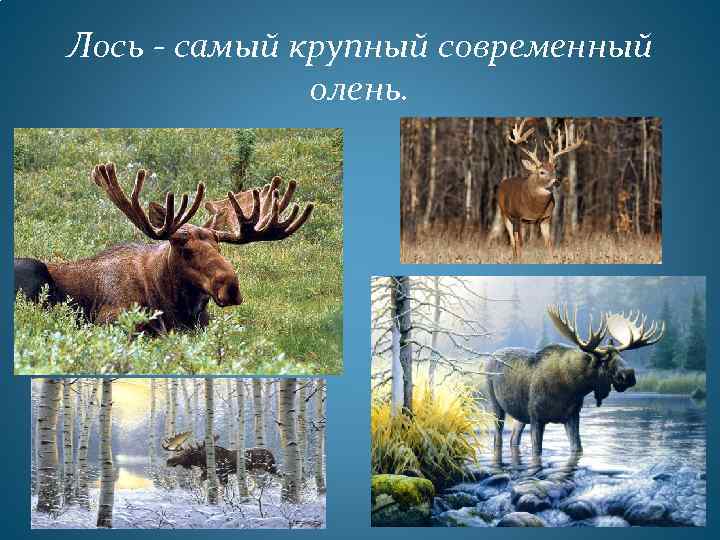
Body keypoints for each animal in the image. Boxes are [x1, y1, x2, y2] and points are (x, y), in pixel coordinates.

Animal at [496, 119, 585, 258]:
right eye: (542, 172)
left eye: (554, 170)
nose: (556, 181)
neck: (535, 208)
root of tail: (503, 182)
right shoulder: (518, 217)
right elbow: (519, 243)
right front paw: (520, 259)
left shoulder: (545, 218)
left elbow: (549, 244)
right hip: (504, 214)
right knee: (513, 242)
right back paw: (515, 257)